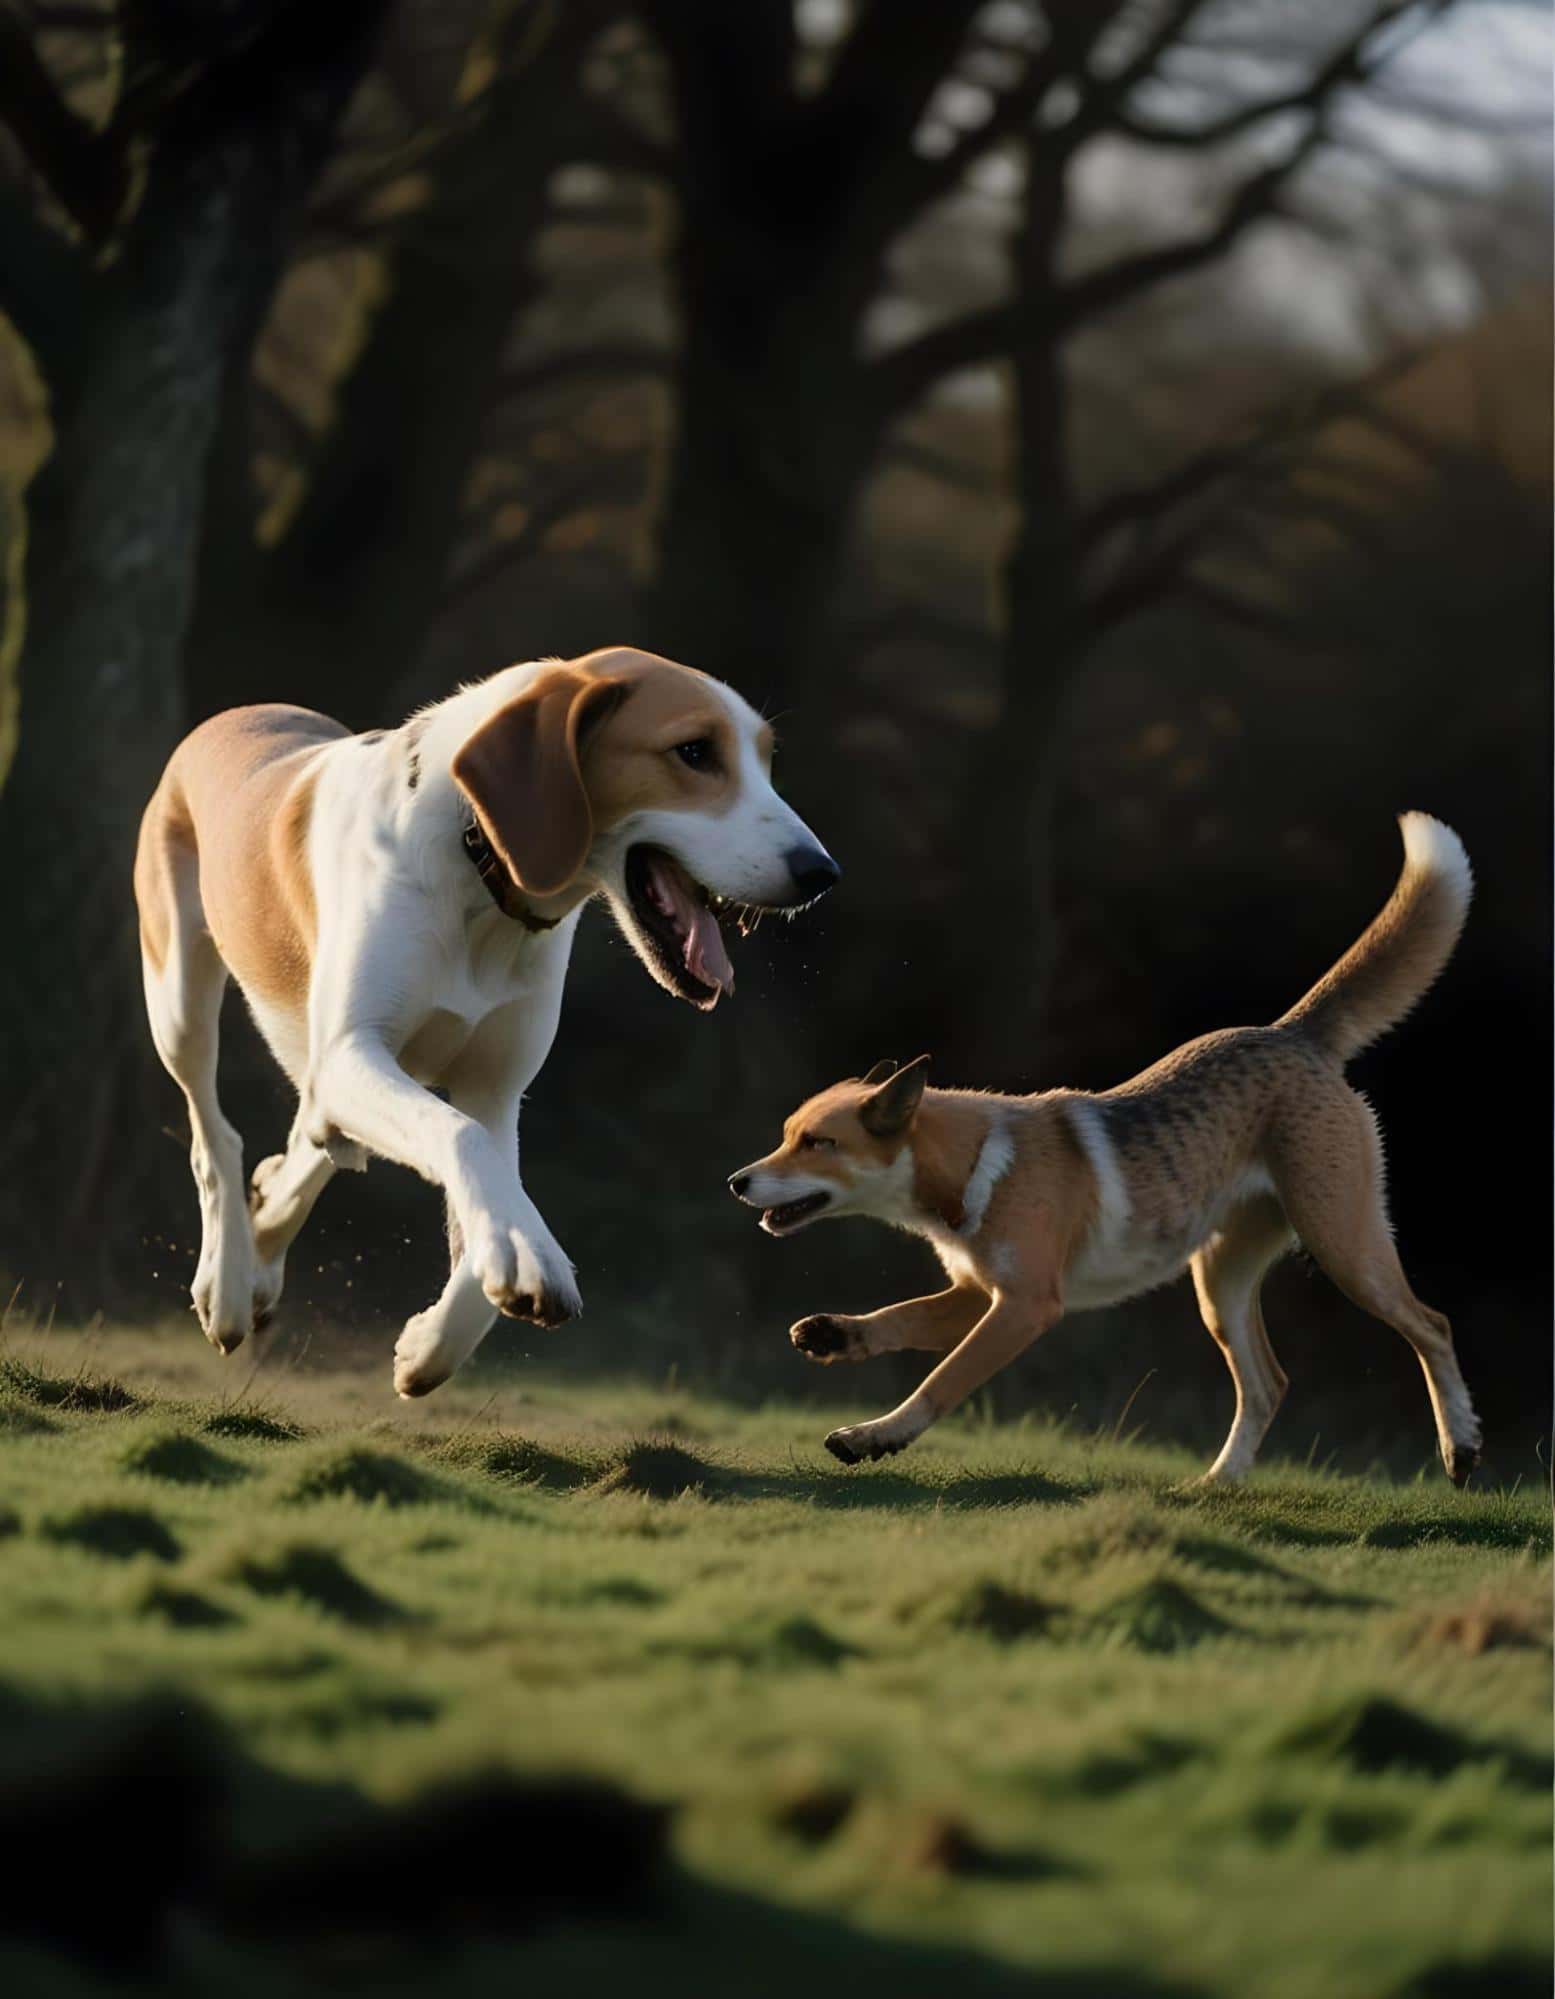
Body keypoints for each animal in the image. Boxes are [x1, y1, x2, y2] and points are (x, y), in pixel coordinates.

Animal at [728, 814, 1480, 1485]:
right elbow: (896, 1319)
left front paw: (872, 1438)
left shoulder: (1026, 1304)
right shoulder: (979, 1292)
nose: (737, 1181)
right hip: (1221, 1282)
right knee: (1269, 1382)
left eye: (817, 1142)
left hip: (1344, 1246)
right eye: (785, 1136)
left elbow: (941, 1381)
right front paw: (832, 1336)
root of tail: (1293, 1033)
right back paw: (1214, 1485)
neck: (971, 1171)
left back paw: (1460, 1447)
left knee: (1434, 1325)